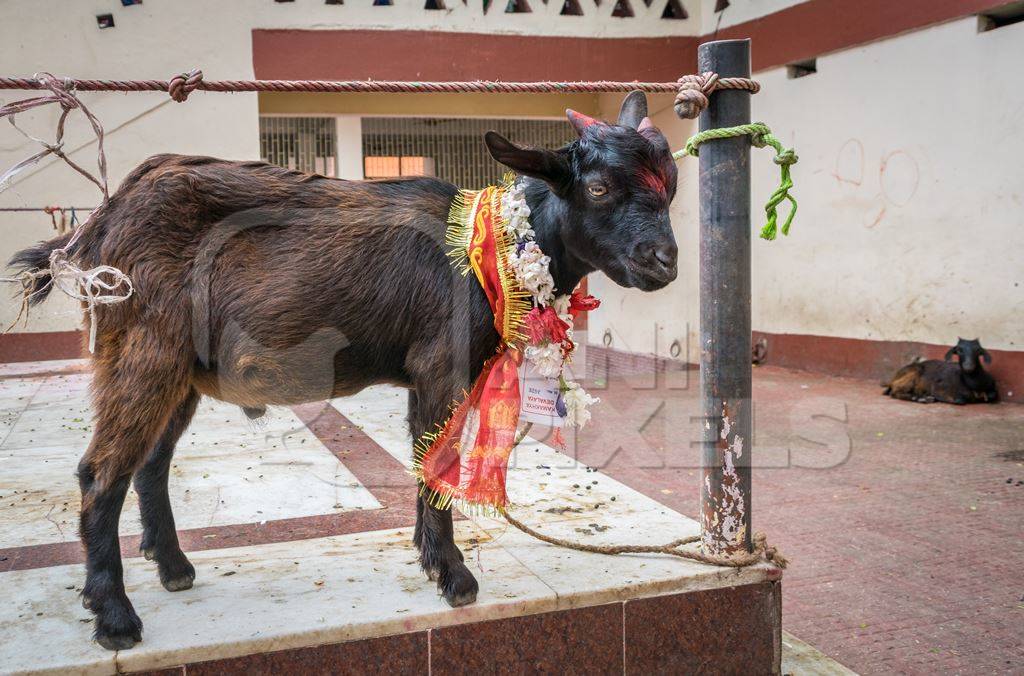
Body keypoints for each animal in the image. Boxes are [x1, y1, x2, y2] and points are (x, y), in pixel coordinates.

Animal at [9, 91, 679, 651]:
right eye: (596, 188)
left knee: (150, 462)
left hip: (178, 371)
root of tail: (98, 224)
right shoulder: (438, 366)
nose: (663, 261)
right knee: (100, 473)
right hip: (141, 351)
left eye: (670, 184)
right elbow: (435, 468)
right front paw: (454, 576)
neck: (491, 250)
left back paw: (173, 567)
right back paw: (115, 618)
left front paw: (433, 561)